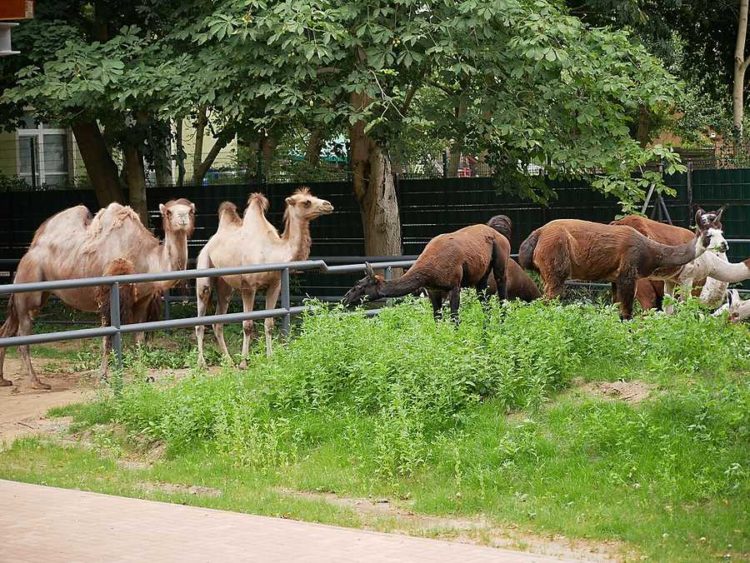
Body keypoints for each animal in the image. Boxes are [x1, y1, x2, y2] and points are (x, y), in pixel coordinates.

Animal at [0, 198, 197, 388]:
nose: (182, 219)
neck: (147, 259)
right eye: (168, 212)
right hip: (29, 284)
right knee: (22, 334)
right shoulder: (109, 294)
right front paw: (103, 377)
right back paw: (36, 382)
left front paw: (143, 375)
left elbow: (139, 339)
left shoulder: (142, 301)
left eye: (190, 211)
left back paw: (4, 380)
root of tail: (30, 250)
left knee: (7, 329)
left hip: (35, 293)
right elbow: (108, 338)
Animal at [195, 187, 334, 368]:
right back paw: (202, 363)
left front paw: (270, 358)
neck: (272, 253)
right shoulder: (248, 287)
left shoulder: (275, 286)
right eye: (306, 202)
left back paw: (229, 360)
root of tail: (209, 243)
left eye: (313, 197)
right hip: (204, 270)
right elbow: (247, 324)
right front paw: (244, 362)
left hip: (225, 285)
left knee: (217, 322)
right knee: (200, 319)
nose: (328, 204)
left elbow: (269, 324)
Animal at [342, 224, 512, 322]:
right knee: (485, 303)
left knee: (502, 297)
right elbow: (437, 319)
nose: (345, 298)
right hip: (481, 277)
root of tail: (503, 237)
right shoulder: (433, 290)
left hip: (500, 265)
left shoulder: (455, 286)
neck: (428, 273)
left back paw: (502, 325)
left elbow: (454, 318)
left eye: (359, 286)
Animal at [520, 215, 732, 322]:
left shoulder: (615, 280)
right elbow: (628, 315)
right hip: (555, 269)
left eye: (722, 232)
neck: (651, 251)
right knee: (547, 301)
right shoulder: (629, 276)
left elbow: (616, 310)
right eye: (710, 235)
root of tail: (537, 234)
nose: (725, 245)